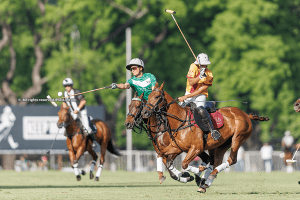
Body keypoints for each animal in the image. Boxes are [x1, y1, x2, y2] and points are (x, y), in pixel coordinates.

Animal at [141, 83, 270, 192]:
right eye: (148, 97)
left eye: (157, 96)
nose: (144, 113)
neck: (180, 122)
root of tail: (246, 115)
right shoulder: (177, 147)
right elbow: (162, 156)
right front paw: (165, 176)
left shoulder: (196, 148)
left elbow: (184, 164)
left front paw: (198, 171)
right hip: (222, 144)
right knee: (216, 162)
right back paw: (206, 183)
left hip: (238, 138)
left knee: (231, 160)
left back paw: (209, 177)